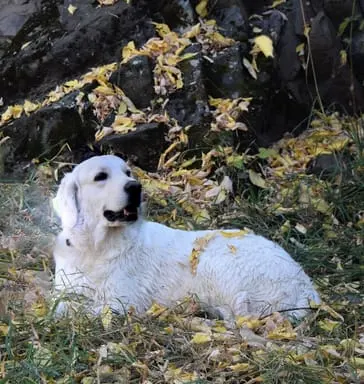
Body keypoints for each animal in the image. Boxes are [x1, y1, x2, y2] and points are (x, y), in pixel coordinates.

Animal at [52, 154, 320, 320]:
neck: (95, 247)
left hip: (215, 261)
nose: (135, 187)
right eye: (101, 176)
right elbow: (60, 307)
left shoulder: (121, 303)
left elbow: (80, 313)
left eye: (127, 172)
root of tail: (307, 288)